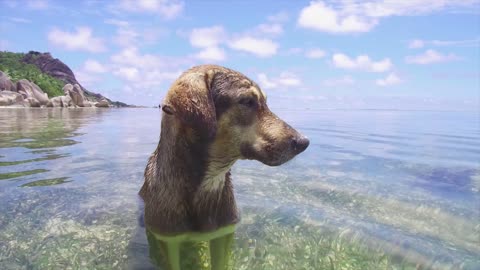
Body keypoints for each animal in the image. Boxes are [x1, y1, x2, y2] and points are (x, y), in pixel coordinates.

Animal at [141, 63, 310, 268]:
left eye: (265, 102)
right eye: (247, 101)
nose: (304, 142)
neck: (210, 183)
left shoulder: (223, 234)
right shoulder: (167, 241)